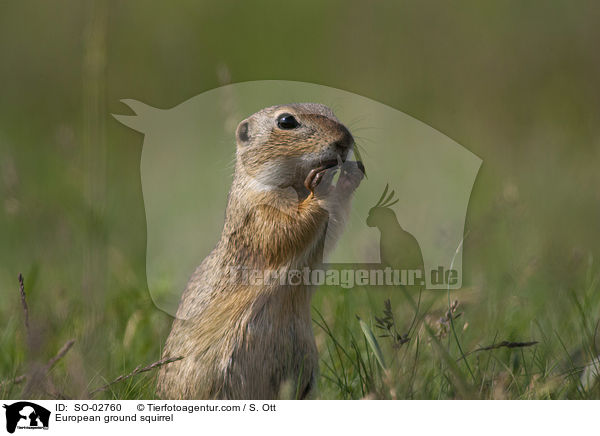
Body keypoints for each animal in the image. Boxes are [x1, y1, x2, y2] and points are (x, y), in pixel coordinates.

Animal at [157, 102, 364, 398]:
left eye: (329, 109)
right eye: (286, 121)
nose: (345, 140)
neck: (294, 185)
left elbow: (331, 227)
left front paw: (350, 176)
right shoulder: (259, 211)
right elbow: (286, 228)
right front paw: (321, 184)